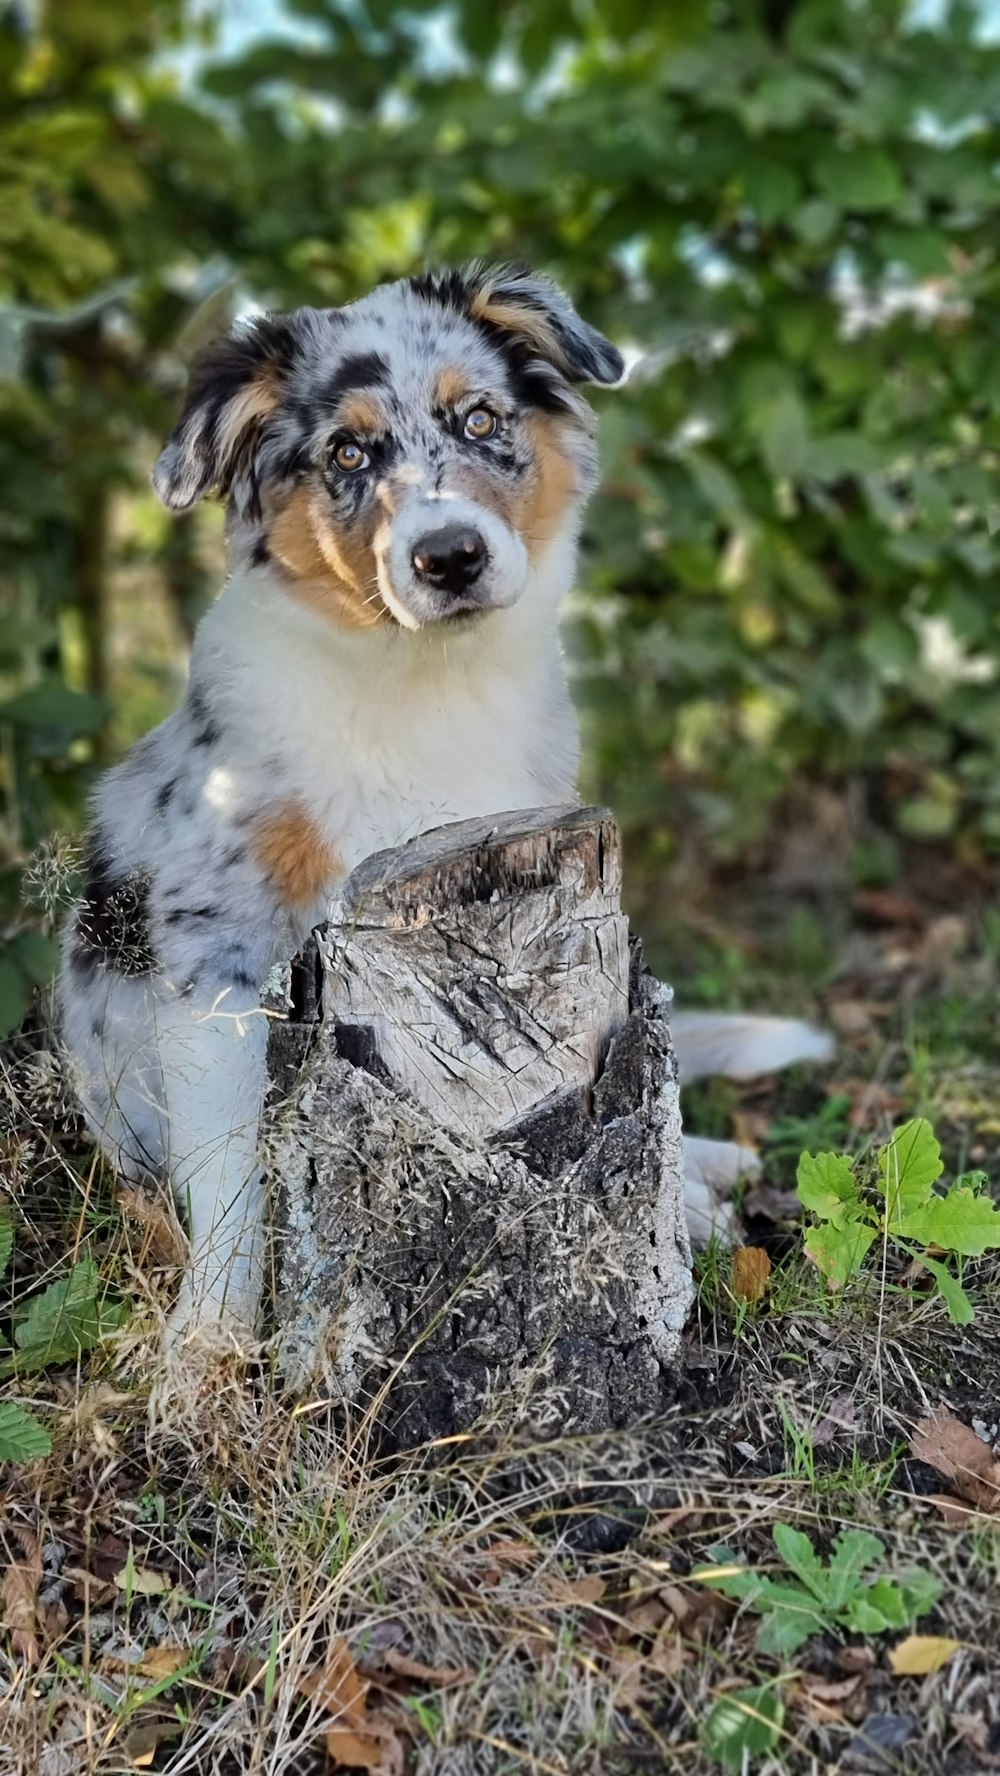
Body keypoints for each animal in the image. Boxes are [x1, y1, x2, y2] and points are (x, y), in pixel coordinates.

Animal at [58, 262, 834, 1342]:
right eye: (346, 452)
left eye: (479, 420)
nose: (450, 556)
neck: (420, 682)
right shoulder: (217, 951)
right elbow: (232, 1177)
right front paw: (206, 1345)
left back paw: (701, 1179)